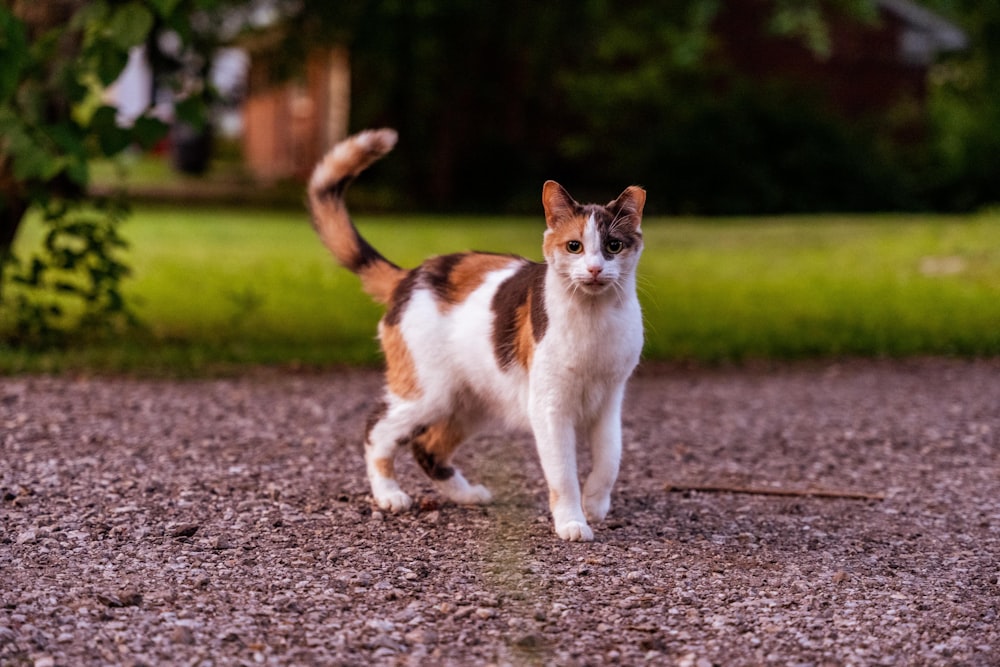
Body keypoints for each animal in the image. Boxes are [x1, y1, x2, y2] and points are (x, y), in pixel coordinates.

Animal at [308, 129, 644, 544]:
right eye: (574, 247)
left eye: (613, 246)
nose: (596, 269)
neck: (594, 319)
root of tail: (410, 275)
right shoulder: (549, 408)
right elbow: (563, 473)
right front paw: (571, 521)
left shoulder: (610, 401)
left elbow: (611, 458)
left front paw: (595, 505)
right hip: (428, 392)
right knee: (376, 430)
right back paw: (389, 495)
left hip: (471, 402)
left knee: (426, 447)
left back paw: (467, 495)